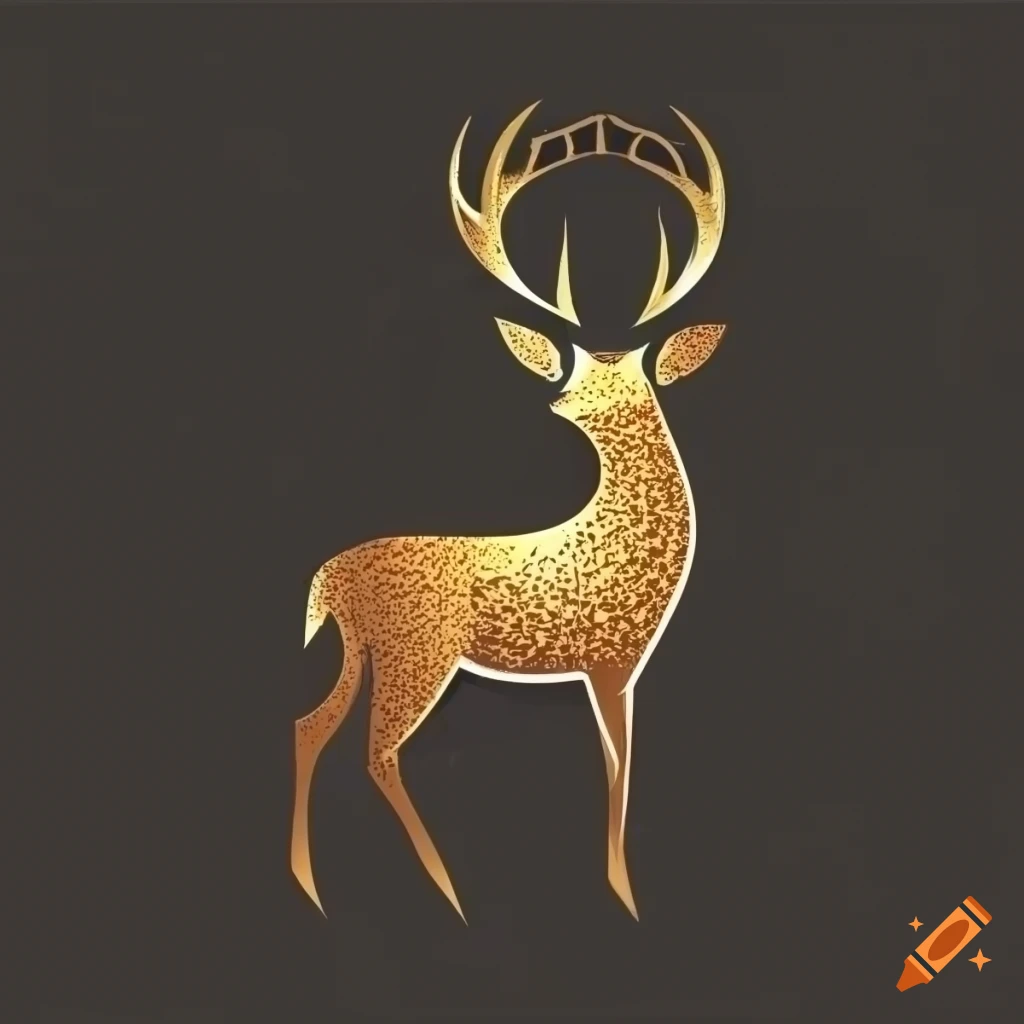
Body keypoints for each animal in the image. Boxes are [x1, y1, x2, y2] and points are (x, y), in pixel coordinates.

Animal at [292, 102, 728, 923]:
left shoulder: (617, 667)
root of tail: (330, 575)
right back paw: (449, 889)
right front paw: (622, 890)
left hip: (360, 649)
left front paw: (619, 888)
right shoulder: (611, 662)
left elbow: (619, 767)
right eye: (572, 365)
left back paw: (312, 883)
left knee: (309, 728)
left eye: (641, 375)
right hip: (417, 651)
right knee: (376, 751)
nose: (564, 403)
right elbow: (619, 770)